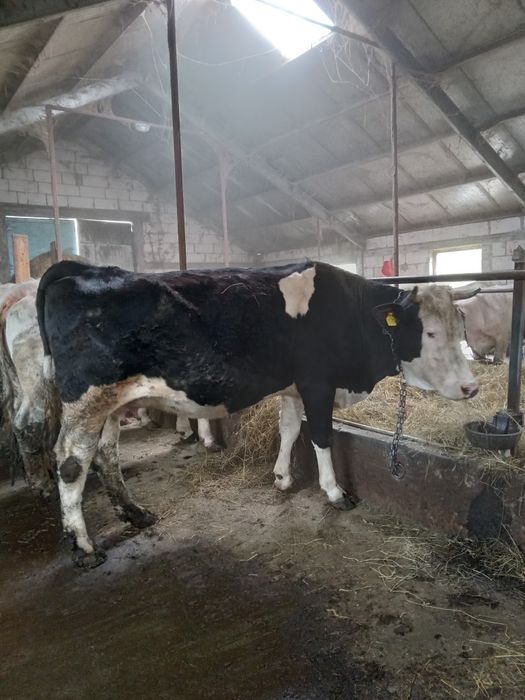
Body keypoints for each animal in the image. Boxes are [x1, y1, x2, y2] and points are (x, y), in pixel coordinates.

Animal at [37, 260, 479, 567]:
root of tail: (83, 269)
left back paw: (135, 513)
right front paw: (335, 492)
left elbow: (289, 429)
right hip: (87, 399)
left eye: (461, 328)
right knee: (72, 461)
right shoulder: (318, 383)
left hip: (111, 404)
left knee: (105, 454)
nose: (471, 387)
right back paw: (83, 547)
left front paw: (282, 477)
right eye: (429, 332)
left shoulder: (295, 387)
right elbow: (320, 435)